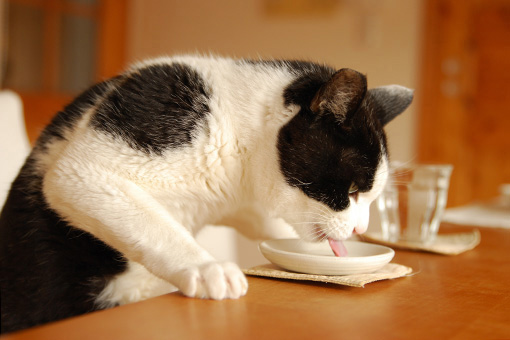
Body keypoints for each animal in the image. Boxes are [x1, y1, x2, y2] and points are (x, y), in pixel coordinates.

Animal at [0, 54, 412, 334]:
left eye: (370, 197)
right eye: (353, 190)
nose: (360, 229)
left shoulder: (235, 200)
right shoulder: (87, 168)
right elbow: (156, 226)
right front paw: (206, 267)